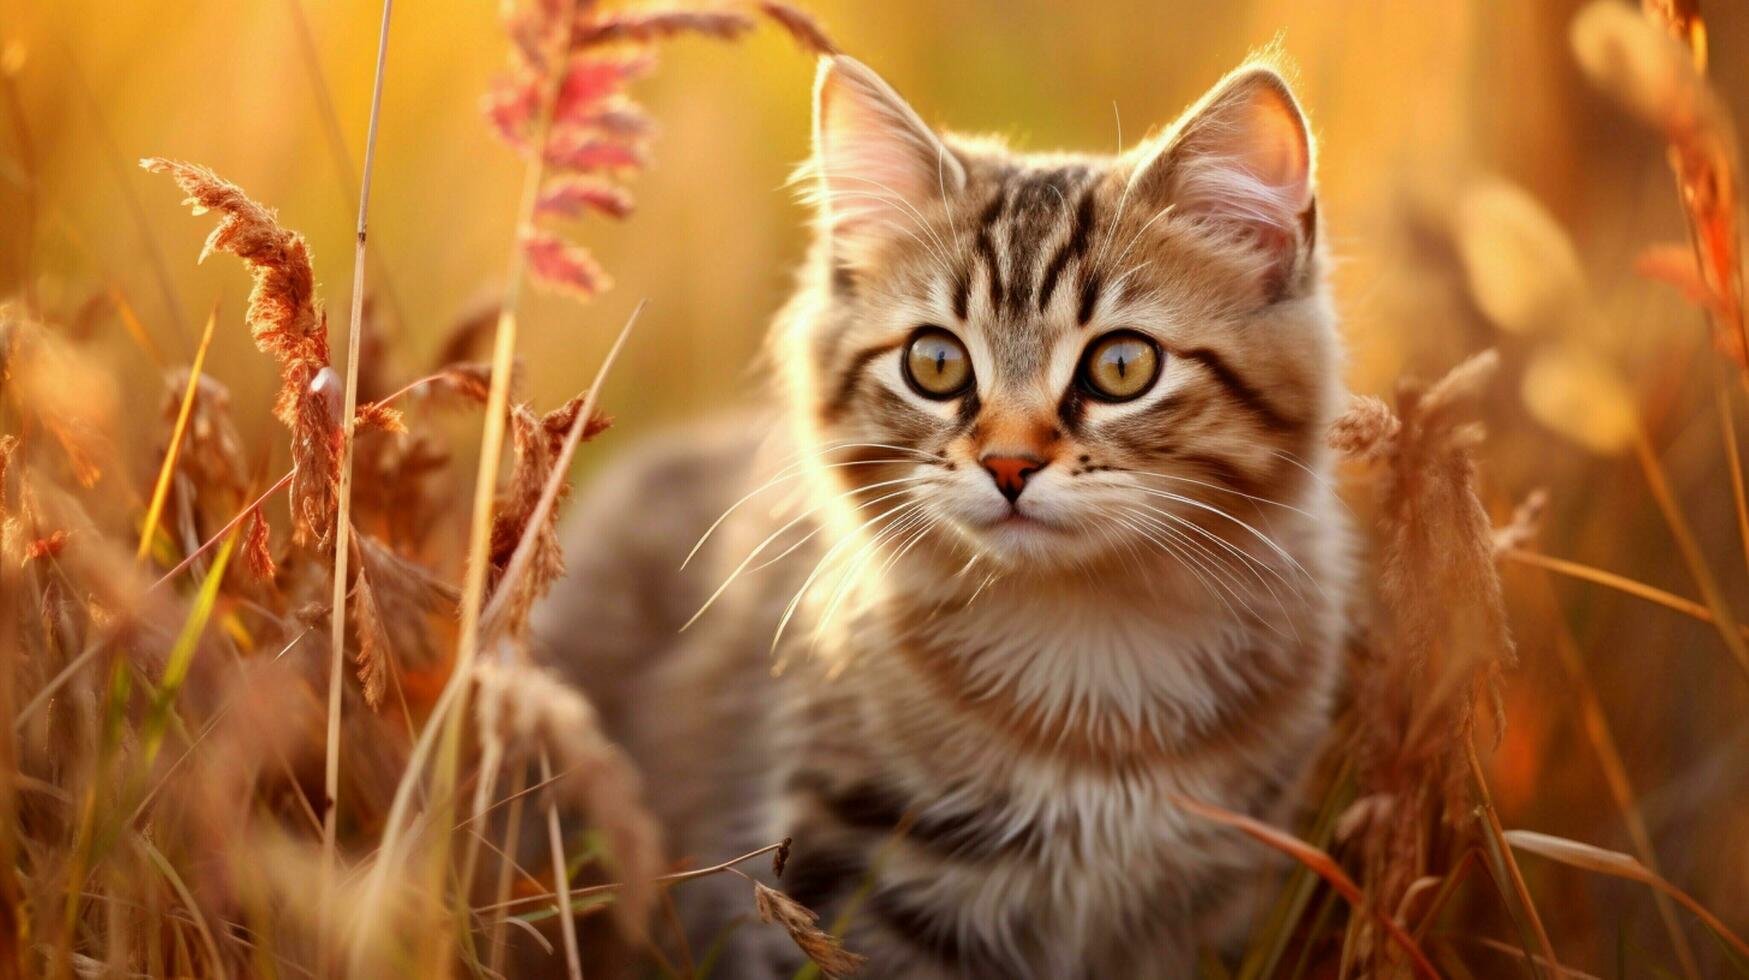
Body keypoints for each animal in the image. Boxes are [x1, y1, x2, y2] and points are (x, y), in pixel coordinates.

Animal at [538, 51, 1357, 980]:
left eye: (1121, 367)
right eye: (934, 363)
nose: (1008, 465)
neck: (1092, 649)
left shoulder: (1219, 893)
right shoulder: (847, 871)